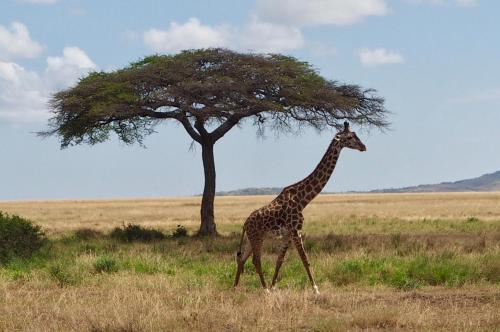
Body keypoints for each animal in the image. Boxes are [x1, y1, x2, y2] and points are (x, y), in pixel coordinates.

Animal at [232, 121, 366, 294]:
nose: (363, 147)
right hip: (257, 237)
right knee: (255, 259)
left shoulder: (288, 234)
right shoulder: (296, 231)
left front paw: (274, 286)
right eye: (350, 137)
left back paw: (235, 287)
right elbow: (305, 259)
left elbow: (280, 260)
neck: (303, 200)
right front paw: (315, 289)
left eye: (356, 135)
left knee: (242, 258)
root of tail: (244, 224)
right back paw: (264, 289)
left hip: (251, 238)